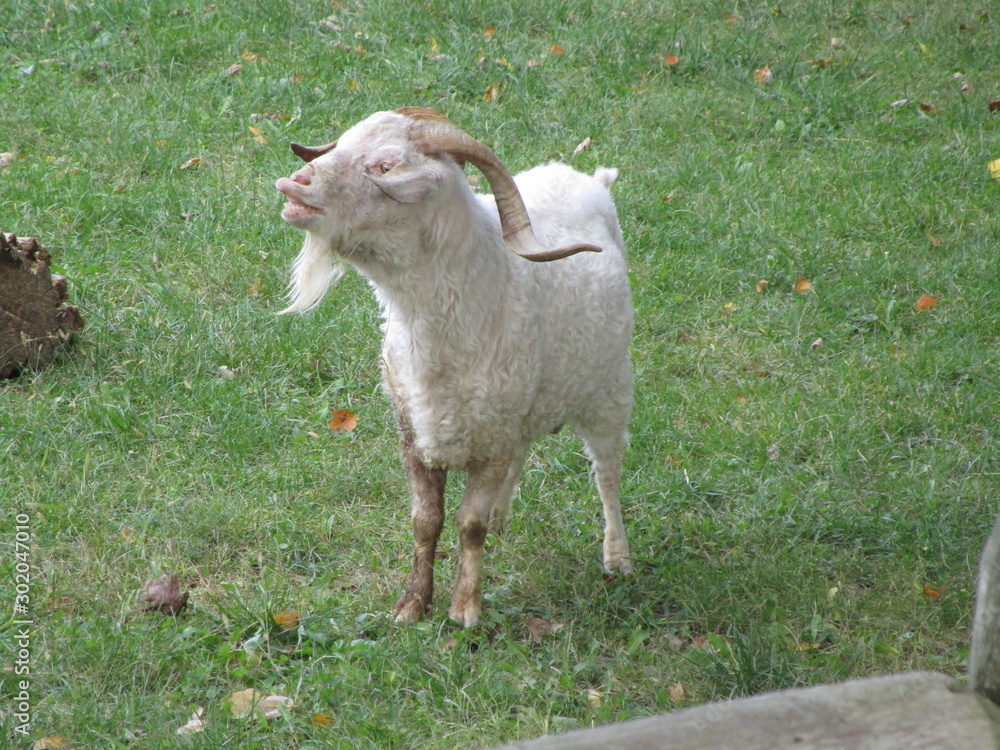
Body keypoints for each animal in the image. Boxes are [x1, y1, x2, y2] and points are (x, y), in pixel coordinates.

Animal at [275, 108, 633, 627]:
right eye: (340, 144)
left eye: (385, 165)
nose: (294, 184)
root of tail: (589, 179)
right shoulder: (416, 432)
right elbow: (426, 521)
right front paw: (411, 604)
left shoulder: (493, 441)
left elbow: (469, 525)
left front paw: (465, 609)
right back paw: (506, 521)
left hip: (610, 389)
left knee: (607, 473)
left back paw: (618, 557)